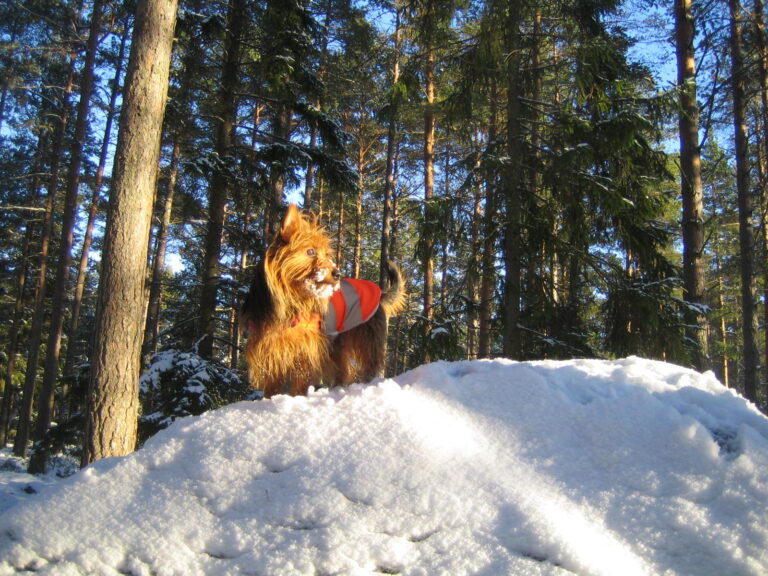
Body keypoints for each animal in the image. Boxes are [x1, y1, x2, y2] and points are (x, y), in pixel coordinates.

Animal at [242, 205, 408, 398]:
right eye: (311, 251)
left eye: (326, 254)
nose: (337, 273)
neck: (291, 300)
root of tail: (381, 293)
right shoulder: (269, 347)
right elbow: (273, 384)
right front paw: (271, 399)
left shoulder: (306, 347)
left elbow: (301, 378)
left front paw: (297, 398)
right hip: (337, 343)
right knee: (343, 370)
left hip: (367, 339)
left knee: (369, 365)